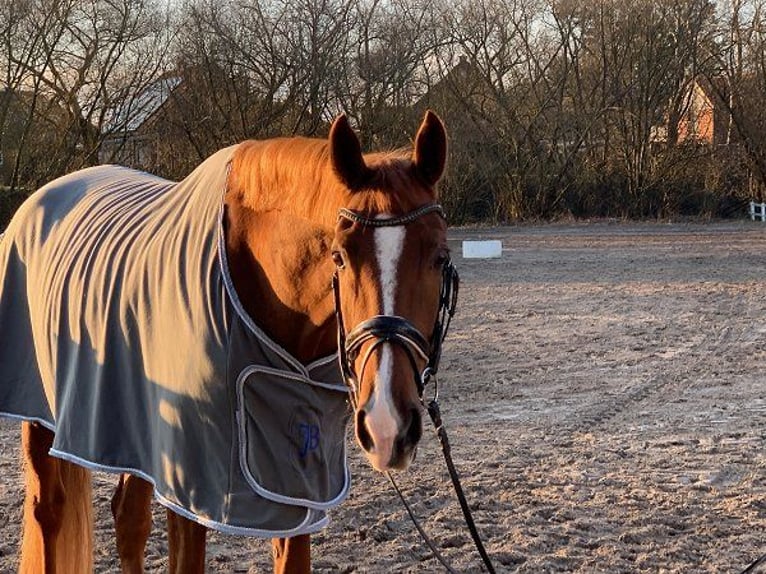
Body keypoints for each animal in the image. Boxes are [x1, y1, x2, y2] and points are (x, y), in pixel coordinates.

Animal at [3, 110, 452, 572]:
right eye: (339, 257)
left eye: (441, 257)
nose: (387, 425)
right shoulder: (190, 486)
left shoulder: (296, 486)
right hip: (40, 417)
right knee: (49, 512)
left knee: (128, 518)